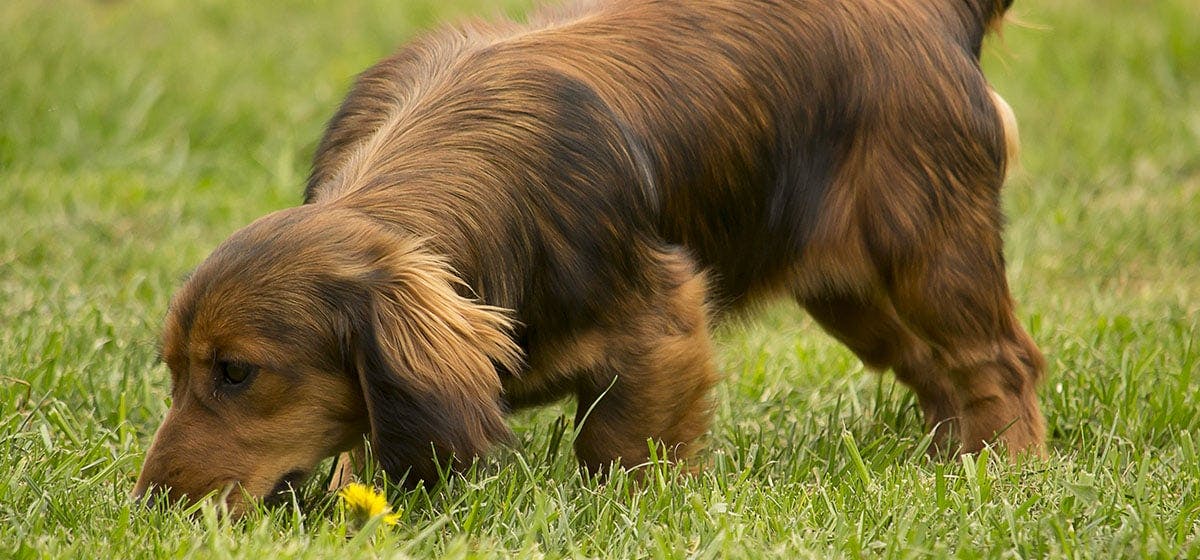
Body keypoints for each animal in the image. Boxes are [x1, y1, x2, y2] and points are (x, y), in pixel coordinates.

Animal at [136, 0, 1046, 515]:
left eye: (238, 372)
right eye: (173, 371)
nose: (150, 510)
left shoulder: (661, 327)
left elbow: (616, 447)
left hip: (929, 251)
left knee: (1001, 361)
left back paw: (1007, 473)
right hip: (852, 294)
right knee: (935, 372)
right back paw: (945, 464)